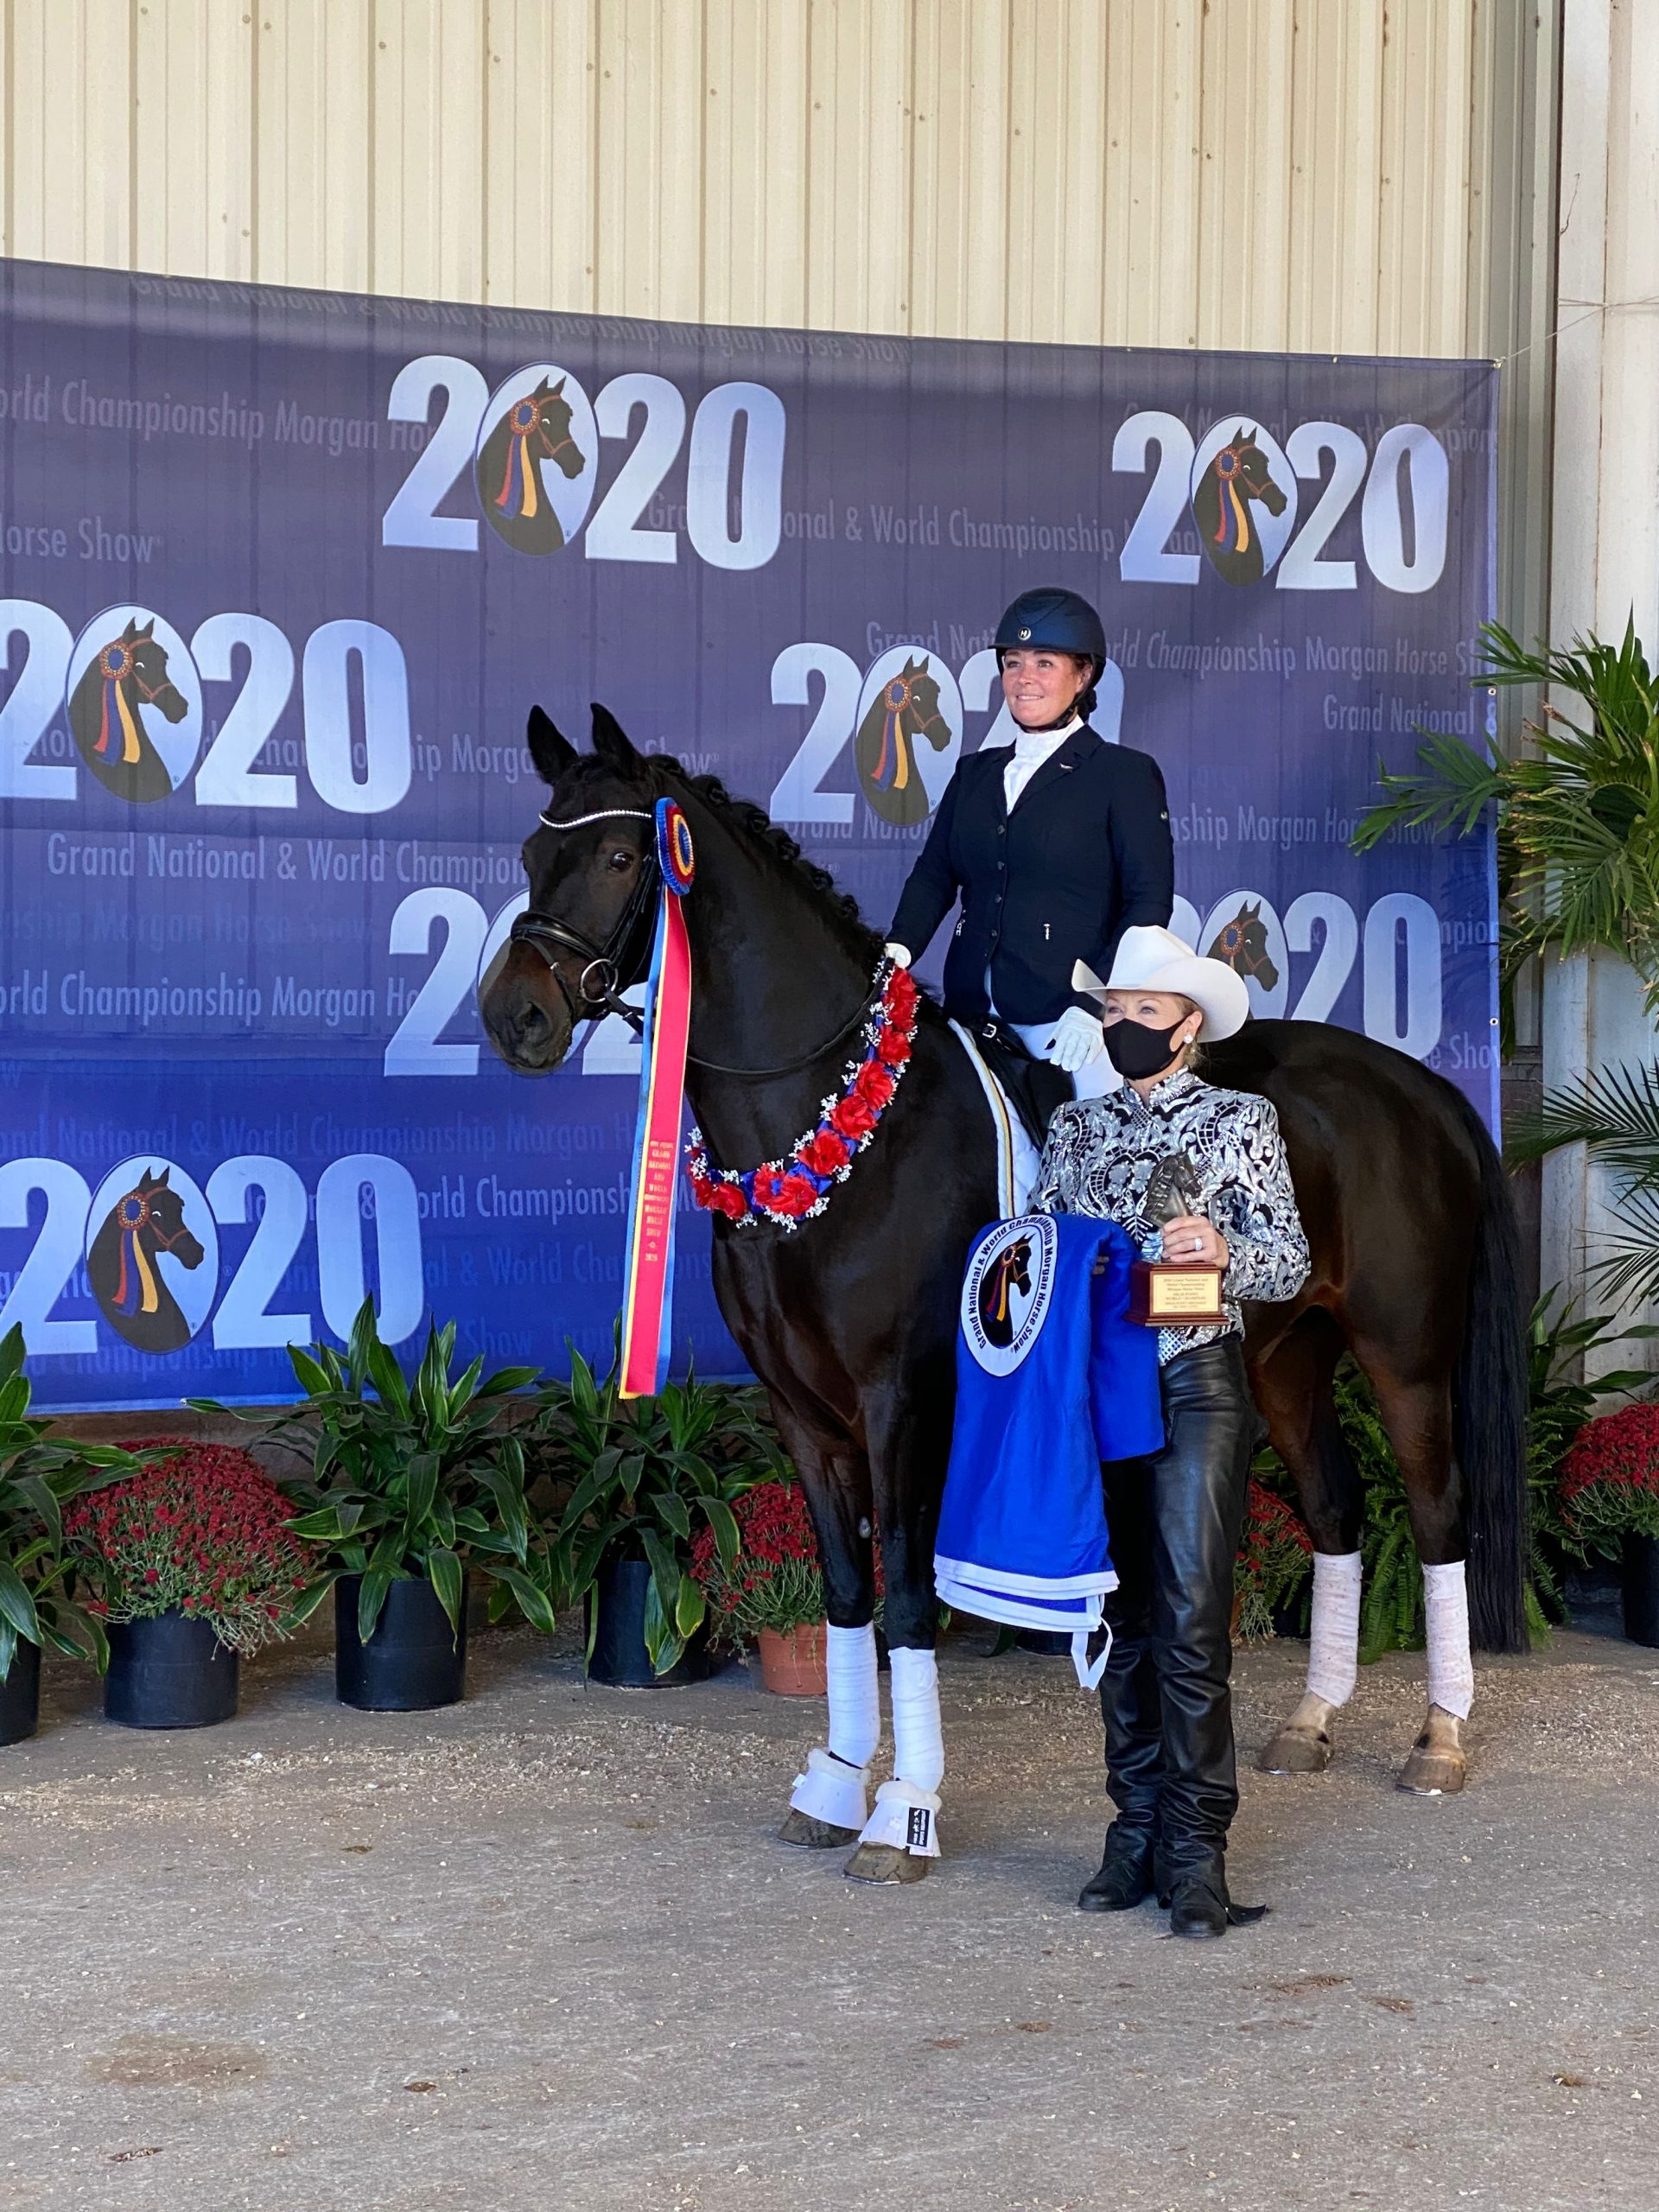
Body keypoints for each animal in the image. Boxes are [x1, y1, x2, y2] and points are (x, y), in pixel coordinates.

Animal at [484, 703, 1530, 1866]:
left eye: (622, 858)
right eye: (530, 855)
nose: (514, 1016)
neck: (831, 1128)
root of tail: (1419, 1085)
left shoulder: (901, 1402)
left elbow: (905, 1596)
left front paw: (903, 1813)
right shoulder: (801, 1410)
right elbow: (844, 1596)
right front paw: (837, 1784)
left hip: (1405, 1358)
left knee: (1436, 1517)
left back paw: (1438, 1739)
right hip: (1288, 1354)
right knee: (1338, 1510)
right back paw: (1308, 1725)